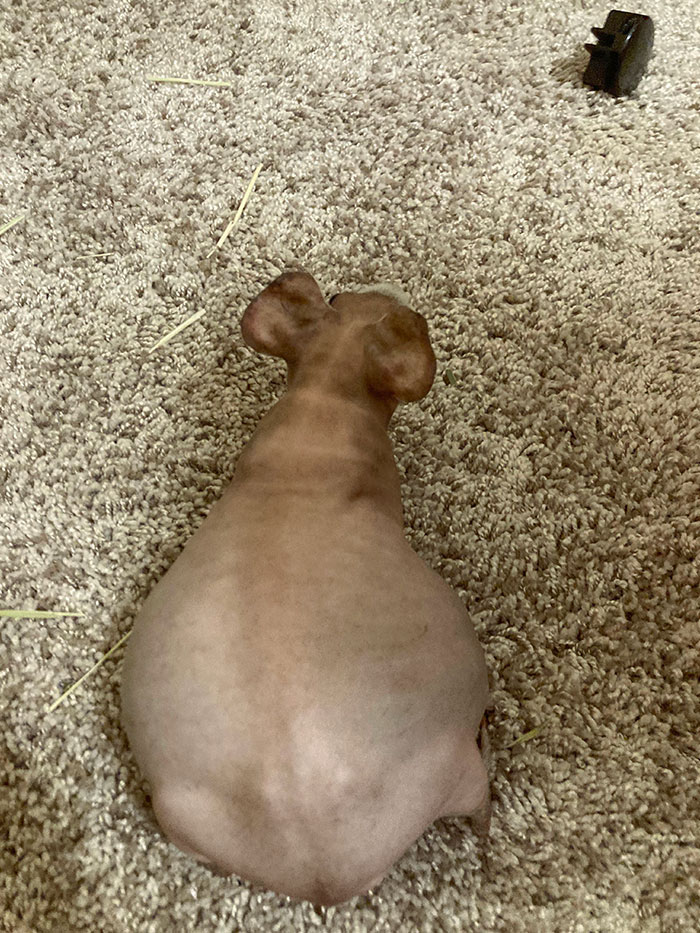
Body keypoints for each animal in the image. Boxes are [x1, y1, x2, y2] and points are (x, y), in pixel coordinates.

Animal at [120, 270, 491, 907]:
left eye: (338, 298)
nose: (379, 285)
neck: (320, 410)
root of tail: (322, 869)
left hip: (179, 817)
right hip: (461, 762)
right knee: (484, 798)